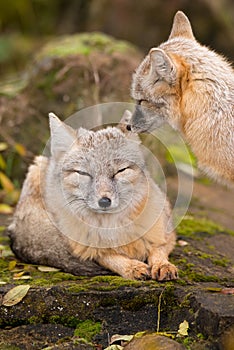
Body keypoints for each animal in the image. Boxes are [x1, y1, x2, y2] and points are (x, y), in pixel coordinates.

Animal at [8, 110, 178, 280]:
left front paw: (162, 265)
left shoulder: (167, 232)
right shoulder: (85, 249)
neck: (112, 226)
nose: (104, 201)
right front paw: (132, 267)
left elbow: (158, 249)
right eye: (84, 173)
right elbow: (109, 257)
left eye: (120, 171)